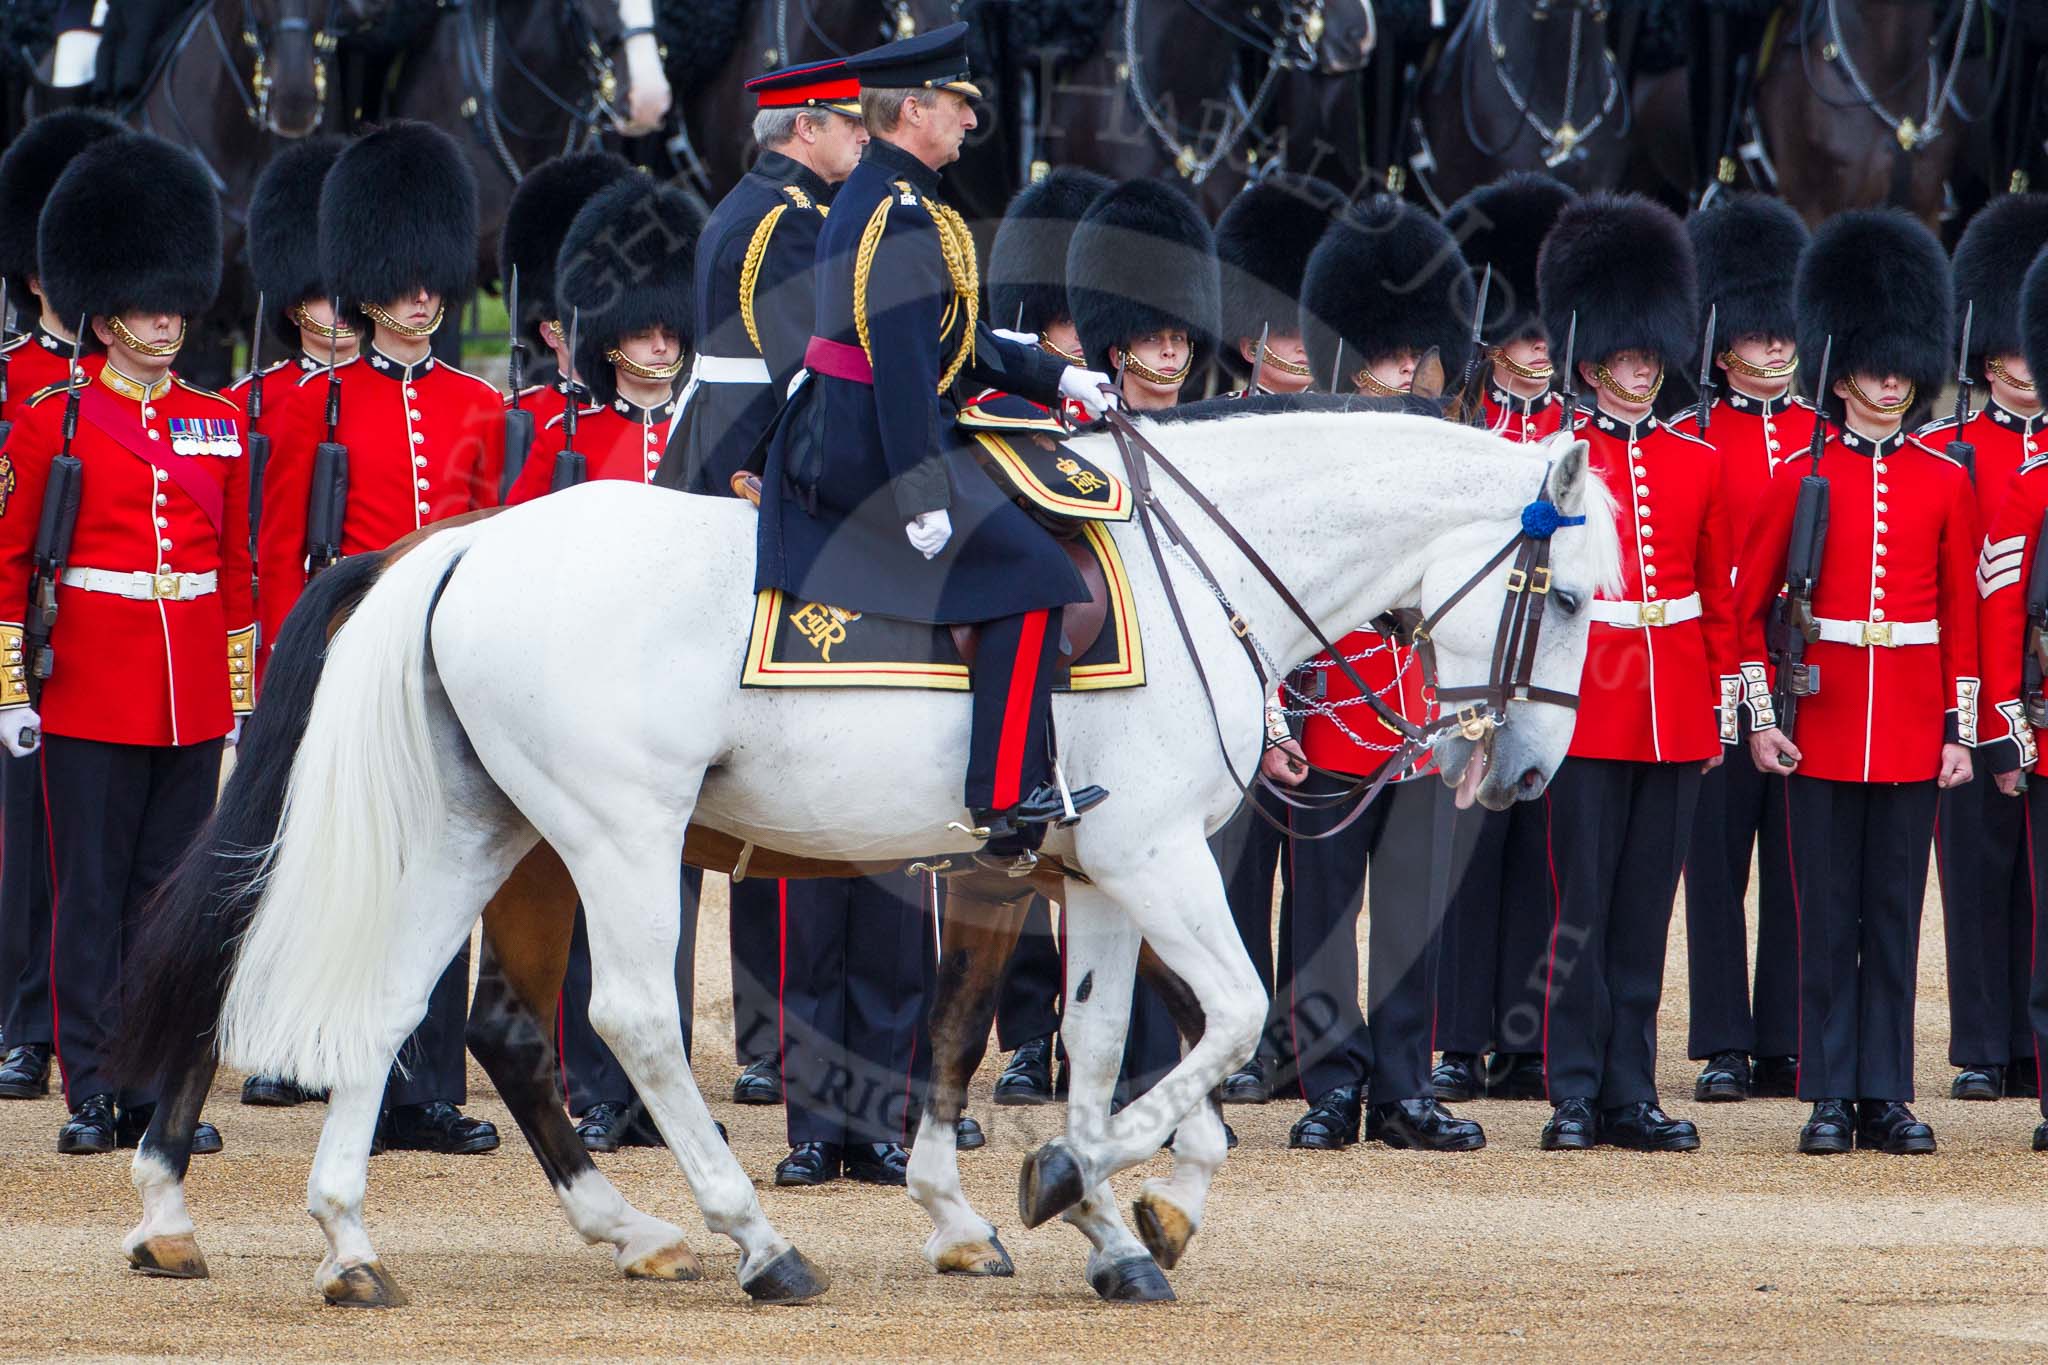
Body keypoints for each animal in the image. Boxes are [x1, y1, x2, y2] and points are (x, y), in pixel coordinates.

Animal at [119, 403, 1613, 1301]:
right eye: (1578, 595)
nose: (1531, 774)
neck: (1195, 576)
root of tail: (465, 546)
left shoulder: (1085, 870)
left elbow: (1078, 1045)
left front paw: (1106, 1223)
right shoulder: (1148, 857)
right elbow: (1230, 1017)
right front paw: (1072, 1189)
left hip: (482, 831)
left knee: (402, 1010)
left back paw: (362, 1240)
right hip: (616, 835)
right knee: (626, 1021)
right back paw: (754, 1241)